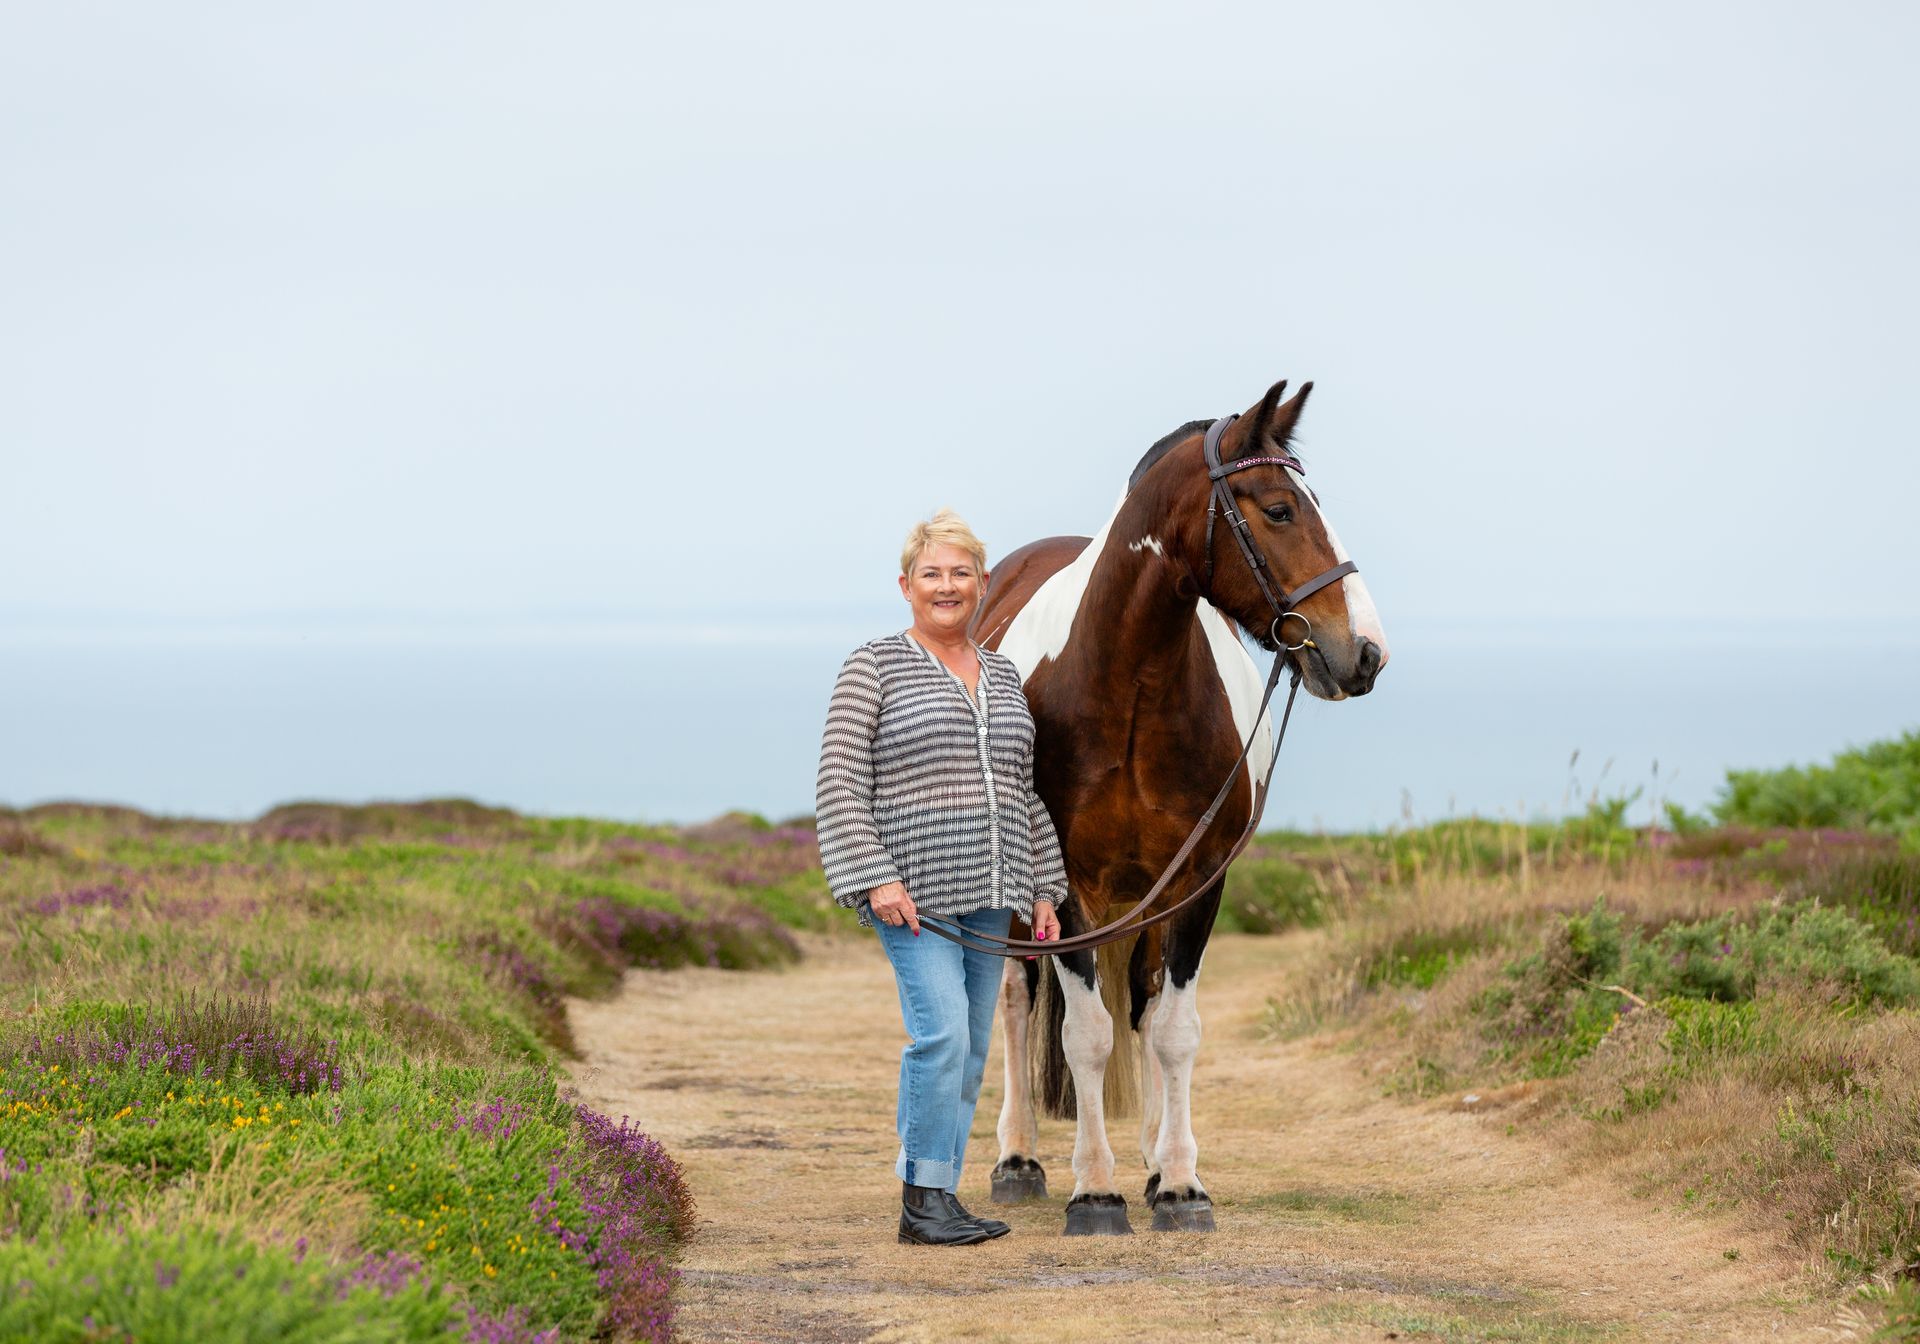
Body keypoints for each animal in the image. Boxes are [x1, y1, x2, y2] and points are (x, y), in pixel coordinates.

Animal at [970, 377, 1388, 1236]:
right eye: (1279, 509)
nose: (1365, 652)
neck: (1128, 683)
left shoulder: (1198, 880)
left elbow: (1173, 1031)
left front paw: (1180, 1183)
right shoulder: (1067, 888)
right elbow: (1086, 1035)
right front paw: (1094, 1191)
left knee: (1146, 1003)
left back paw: (1153, 1158)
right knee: (1020, 1001)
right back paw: (1020, 1158)